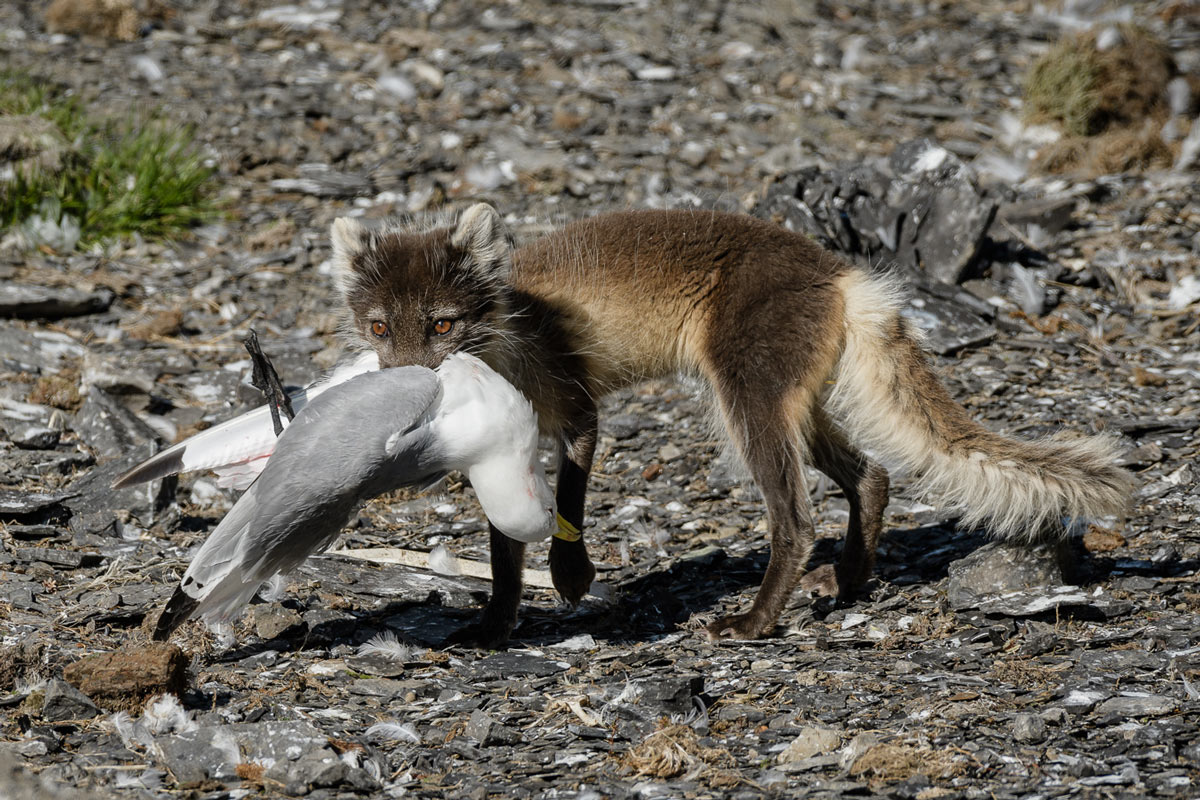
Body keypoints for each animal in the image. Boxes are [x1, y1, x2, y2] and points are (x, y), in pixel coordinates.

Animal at [327, 203, 1134, 647]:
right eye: (380, 326)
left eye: (442, 324)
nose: (410, 385)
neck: (516, 335)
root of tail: (838, 271)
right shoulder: (502, 453)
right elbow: (501, 558)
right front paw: (496, 628)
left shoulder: (580, 409)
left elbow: (571, 501)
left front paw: (572, 576)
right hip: (794, 402)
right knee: (872, 474)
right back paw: (850, 582)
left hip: (745, 397)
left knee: (797, 518)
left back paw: (753, 623)